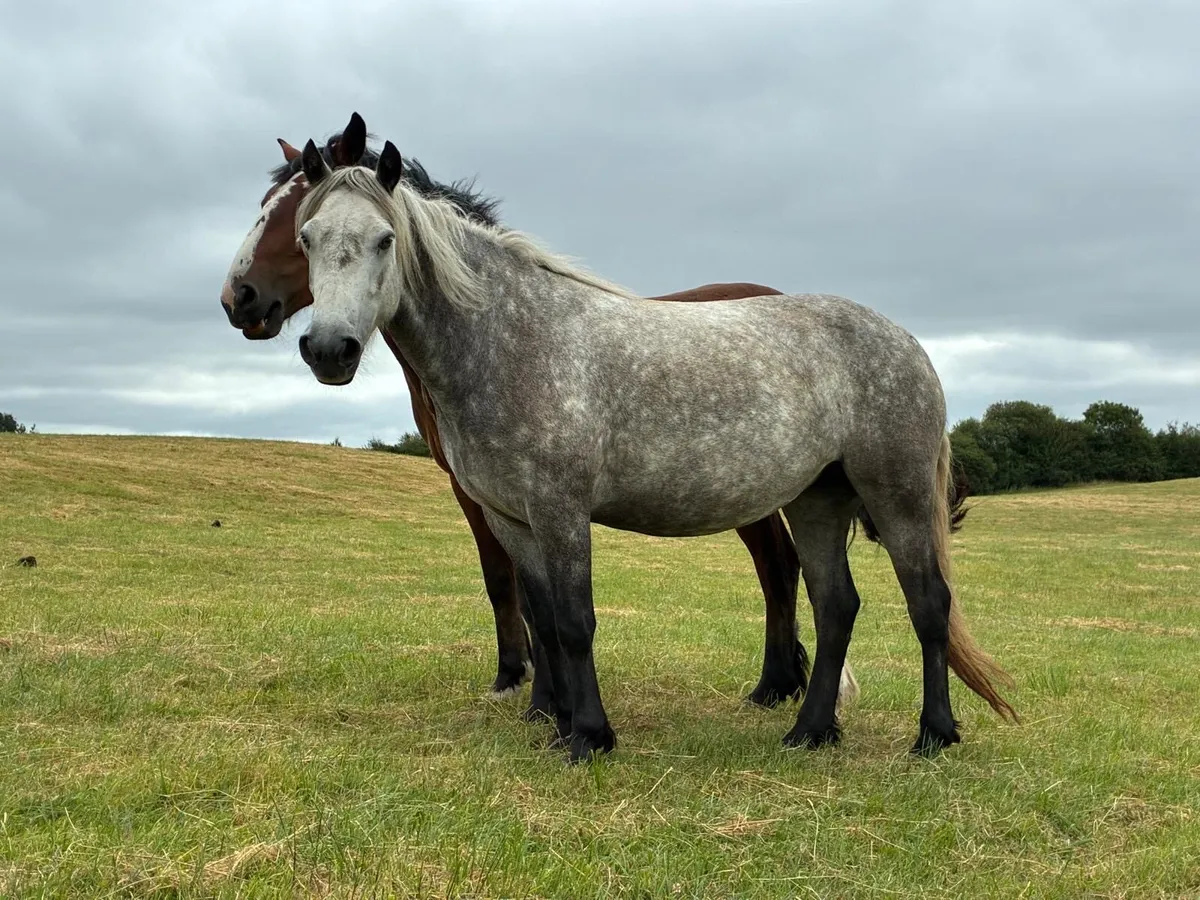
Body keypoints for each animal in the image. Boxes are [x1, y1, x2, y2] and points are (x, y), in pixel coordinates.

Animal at [221, 115, 874, 717]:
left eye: (287, 217)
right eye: (299, 228)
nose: (238, 299)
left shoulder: (496, 494)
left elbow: (512, 587)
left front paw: (526, 687)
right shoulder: (497, 495)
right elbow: (531, 597)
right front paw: (545, 702)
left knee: (779, 569)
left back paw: (775, 688)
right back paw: (778, 687)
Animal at [291, 132, 1016, 762]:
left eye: (385, 239)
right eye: (306, 239)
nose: (328, 350)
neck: (512, 339)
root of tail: (904, 340)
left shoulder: (559, 510)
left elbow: (575, 621)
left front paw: (589, 737)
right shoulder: (510, 517)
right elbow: (543, 619)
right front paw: (557, 724)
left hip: (896, 493)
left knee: (928, 604)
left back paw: (933, 735)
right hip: (818, 499)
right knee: (836, 605)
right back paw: (809, 732)